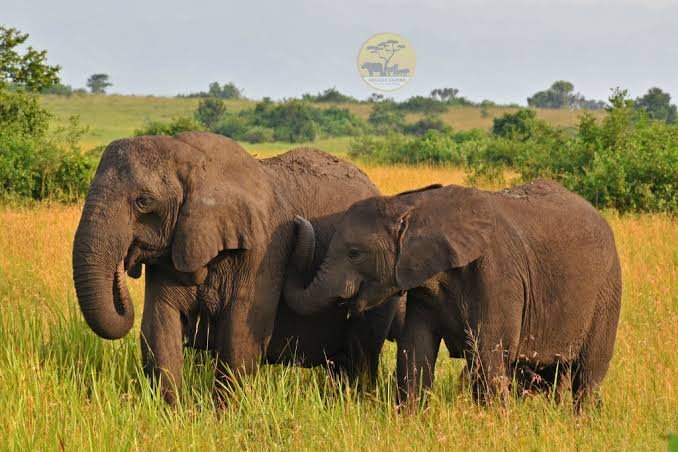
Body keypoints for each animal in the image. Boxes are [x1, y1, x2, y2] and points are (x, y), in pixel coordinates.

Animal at [72, 132, 402, 404]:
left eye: (143, 201)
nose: (123, 266)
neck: (192, 160)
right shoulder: (176, 244)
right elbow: (158, 326)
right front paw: (172, 414)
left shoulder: (265, 247)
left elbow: (240, 334)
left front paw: (223, 416)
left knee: (360, 357)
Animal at [283, 180, 622, 412]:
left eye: (354, 253)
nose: (297, 222)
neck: (417, 206)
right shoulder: (423, 284)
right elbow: (415, 350)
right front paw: (409, 422)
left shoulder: (499, 275)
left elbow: (488, 354)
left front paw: (496, 426)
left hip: (608, 291)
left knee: (588, 374)